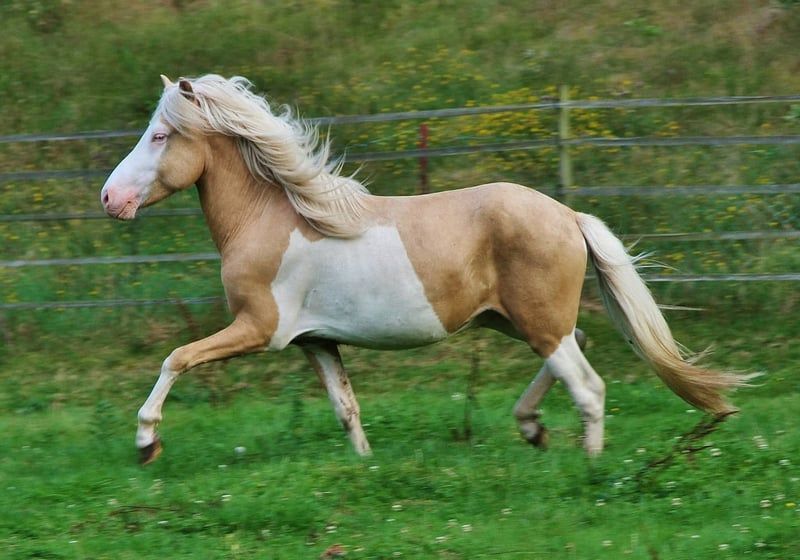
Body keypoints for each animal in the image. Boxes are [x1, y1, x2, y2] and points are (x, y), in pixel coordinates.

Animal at [100, 74, 750, 465]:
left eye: (160, 135)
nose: (110, 199)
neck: (271, 218)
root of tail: (568, 215)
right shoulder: (316, 341)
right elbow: (346, 408)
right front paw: (364, 466)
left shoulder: (259, 329)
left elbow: (176, 358)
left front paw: (146, 440)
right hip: (516, 320)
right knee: (578, 349)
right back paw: (531, 427)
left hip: (537, 322)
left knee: (588, 386)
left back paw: (589, 469)